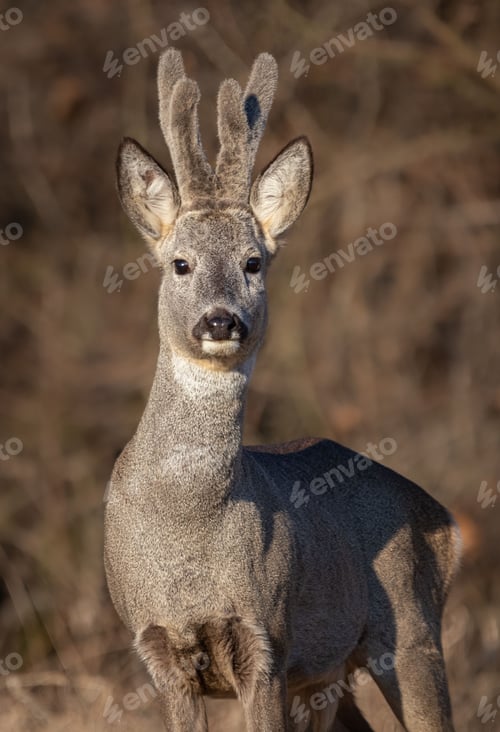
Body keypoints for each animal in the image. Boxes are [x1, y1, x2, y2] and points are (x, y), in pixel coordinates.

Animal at [104, 49, 461, 732]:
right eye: (180, 263)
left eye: (253, 262)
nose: (221, 321)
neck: (188, 528)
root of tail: (445, 519)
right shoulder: (158, 646)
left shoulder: (266, 638)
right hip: (331, 675)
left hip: (411, 629)